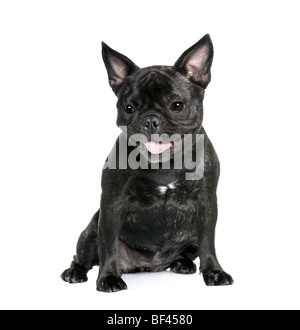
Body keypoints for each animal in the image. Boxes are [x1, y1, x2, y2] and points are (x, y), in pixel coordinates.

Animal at [61, 34, 233, 292]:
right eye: (129, 108)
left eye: (177, 105)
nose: (151, 120)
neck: (166, 164)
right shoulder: (112, 203)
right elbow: (108, 244)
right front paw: (108, 277)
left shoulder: (207, 204)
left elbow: (207, 242)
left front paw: (214, 272)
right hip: (91, 229)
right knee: (84, 254)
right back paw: (75, 271)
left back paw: (182, 264)